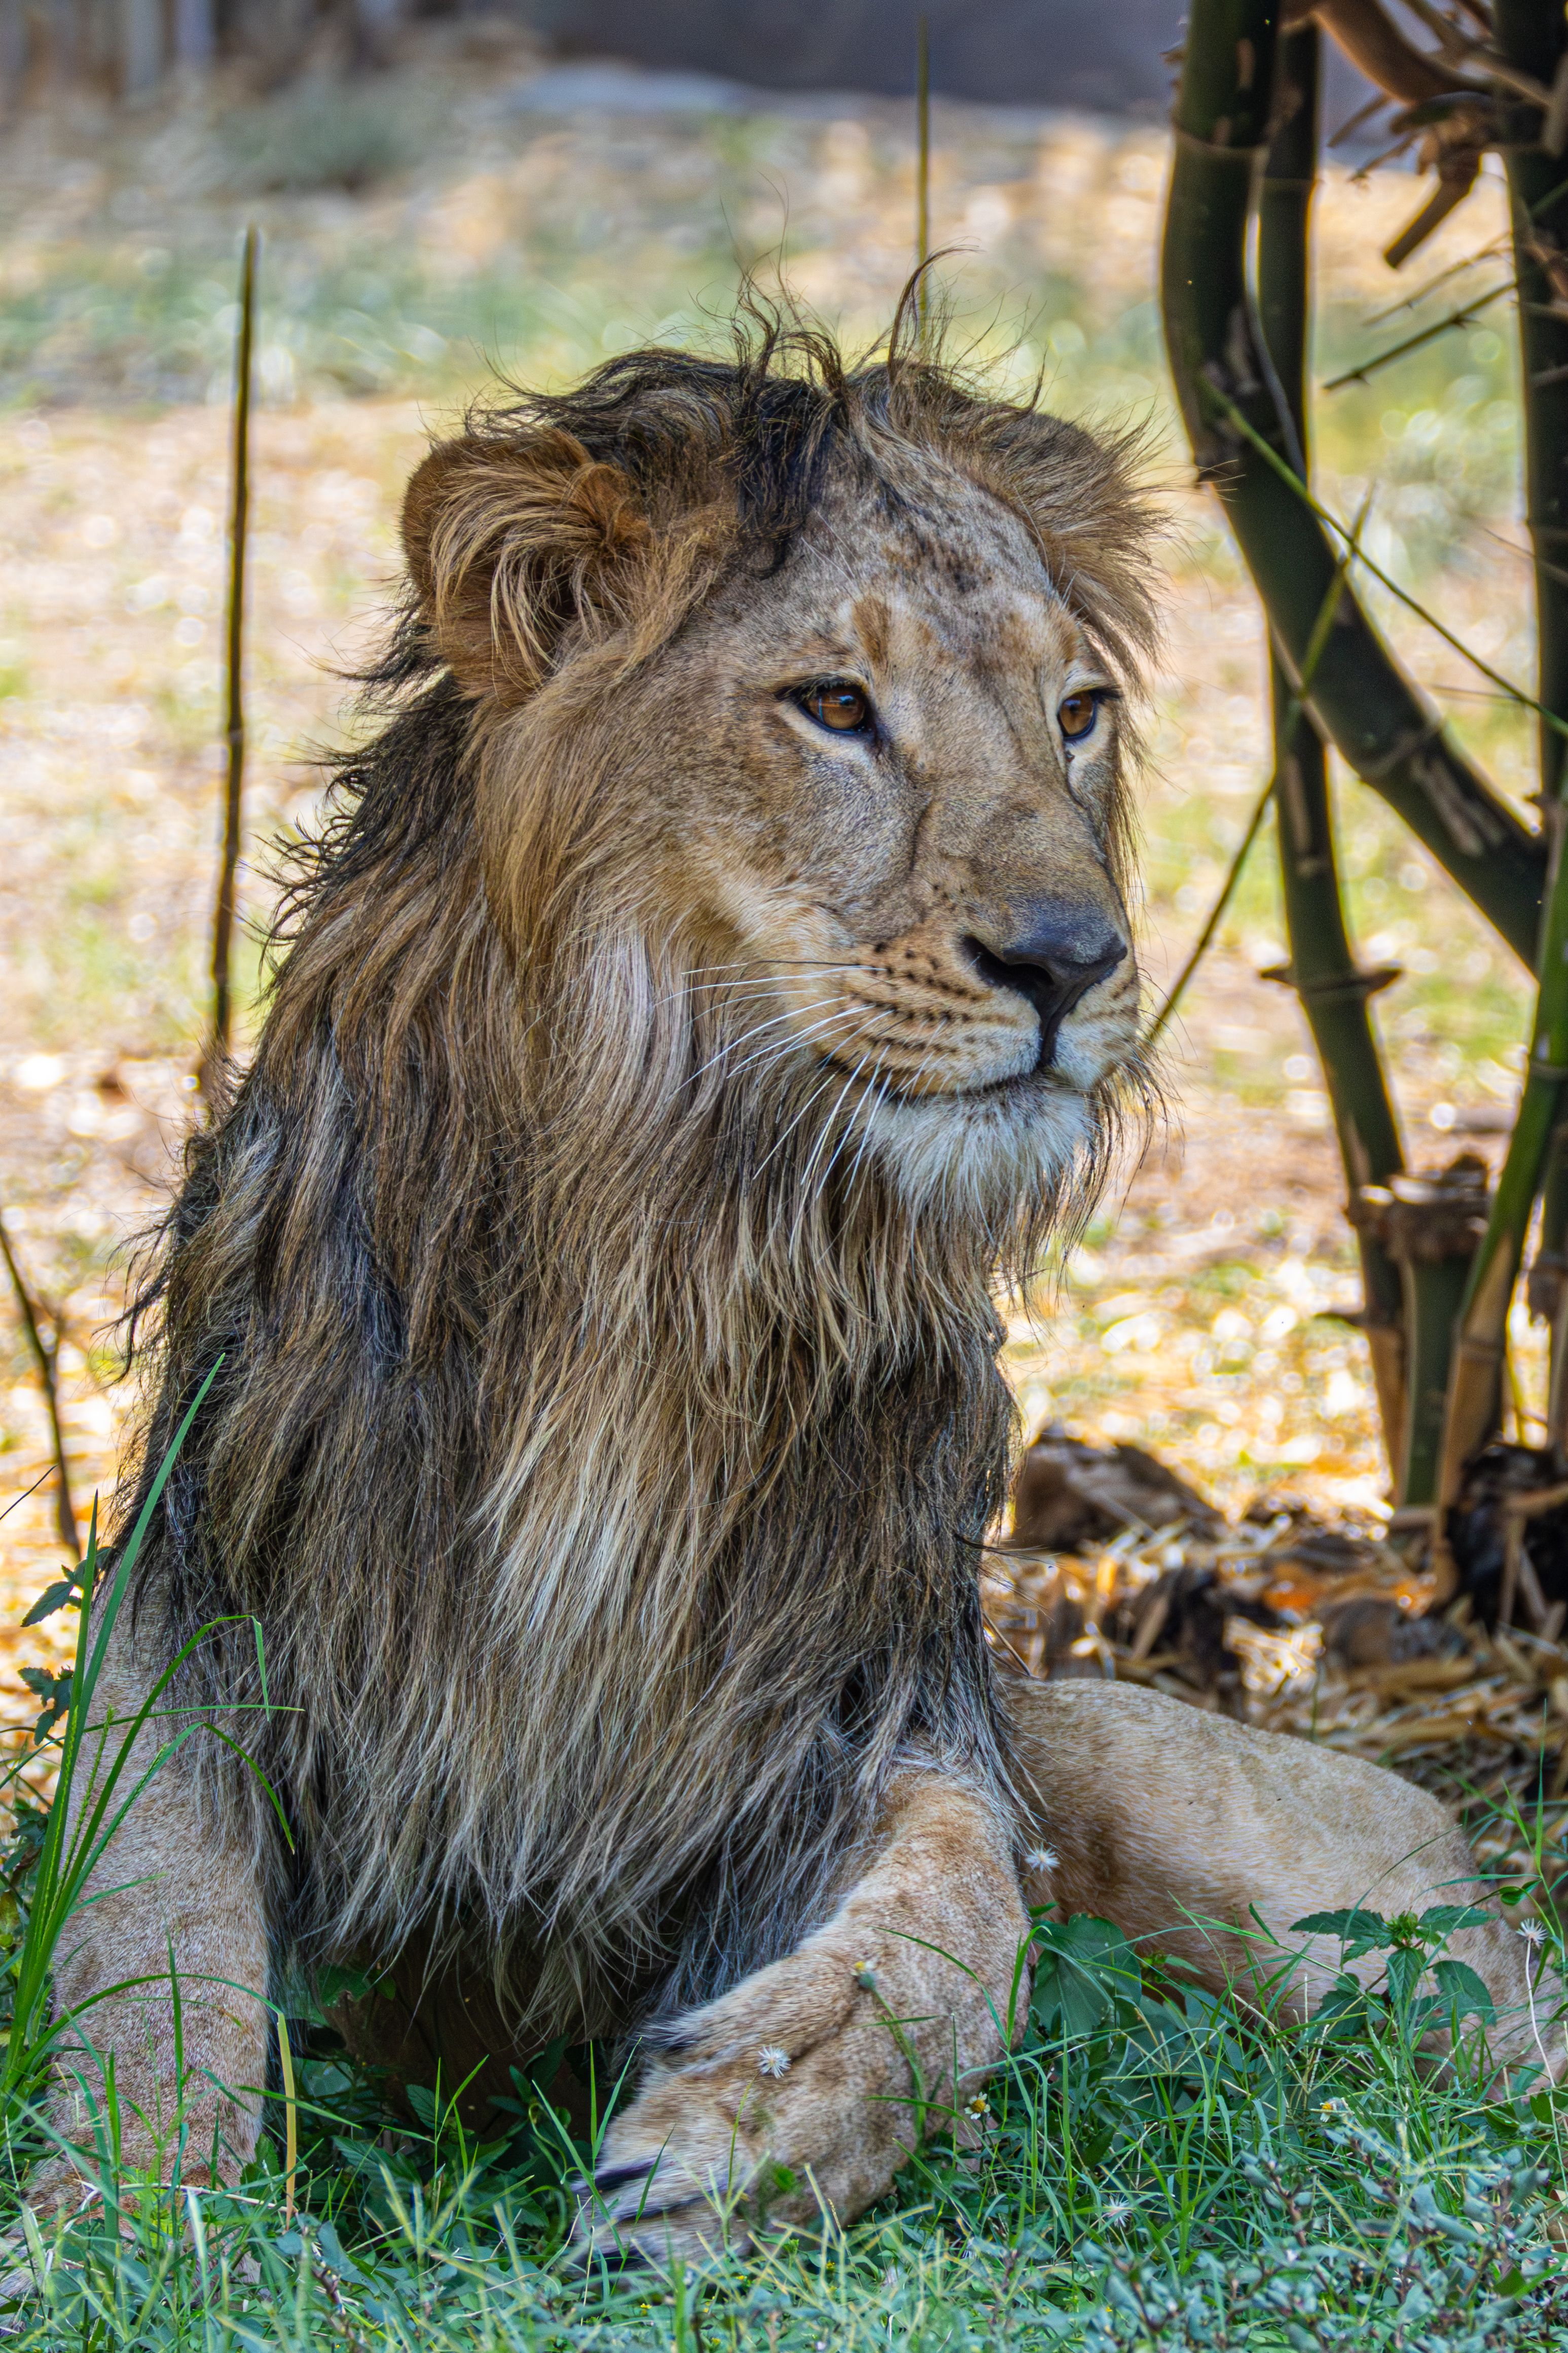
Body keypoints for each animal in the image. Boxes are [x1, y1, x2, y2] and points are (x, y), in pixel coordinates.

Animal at [38, 308, 1555, 2258]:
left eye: (1075, 714)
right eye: (835, 708)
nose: (1072, 961)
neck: (677, 1222)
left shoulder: (874, 1693)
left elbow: (969, 1906)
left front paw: (759, 2115)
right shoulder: (202, 1589)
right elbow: (147, 1920)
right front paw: (124, 2203)